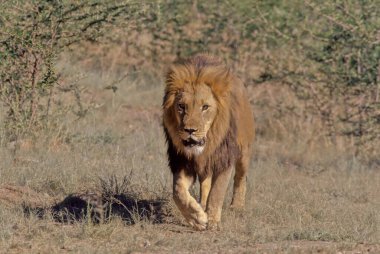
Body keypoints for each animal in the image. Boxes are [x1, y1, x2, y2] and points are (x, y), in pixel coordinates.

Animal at [162, 54, 254, 230]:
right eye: (181, 106)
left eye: (205, 107)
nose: (190, 130)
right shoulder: (183, 160)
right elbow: (178, 191)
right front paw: (196, 217)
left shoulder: (224, 159)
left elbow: (217, 192)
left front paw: (212, 221)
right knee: (205, 183)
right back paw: (202, 205)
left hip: (244, 150)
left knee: (241, 177)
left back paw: (237, 207)